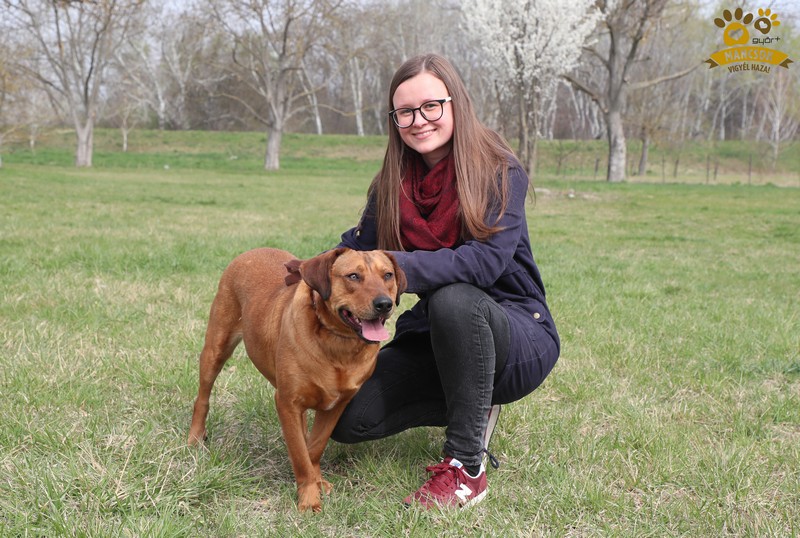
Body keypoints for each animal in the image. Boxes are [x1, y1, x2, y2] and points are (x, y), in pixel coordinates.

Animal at [188, 247, 406, 511]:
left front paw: (316, 480)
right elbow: (301, 455)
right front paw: (309, 497)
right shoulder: (287, 402)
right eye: (353, 276)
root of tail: (252, 251)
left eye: (387, 275)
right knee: (202, 397)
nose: (384, 304)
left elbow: (313, 448)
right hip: (216, 347)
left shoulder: (336, 406)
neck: (338, 343)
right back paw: (195, 437)